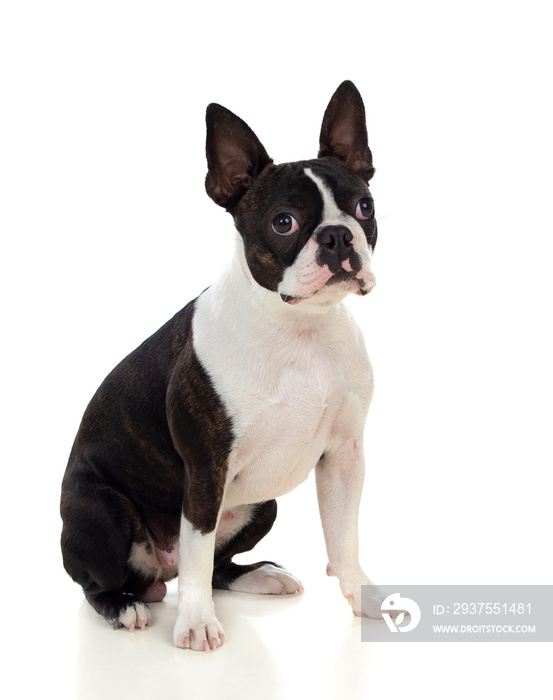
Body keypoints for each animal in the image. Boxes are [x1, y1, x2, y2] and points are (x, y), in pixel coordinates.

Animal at [60, 80, 384, 652]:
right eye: (284, 222)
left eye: (364, 206)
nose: (338, 236)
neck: (300, 331)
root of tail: (155, 572)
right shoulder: (205, 469)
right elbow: (196, 552)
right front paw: (196, 624)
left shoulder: (344, 456)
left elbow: (344, 536)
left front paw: (361, 595)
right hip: (101, 511)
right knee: (107, 580)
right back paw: (123, 606)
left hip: (264, 504)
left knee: (214, 565)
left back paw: (260, 576)